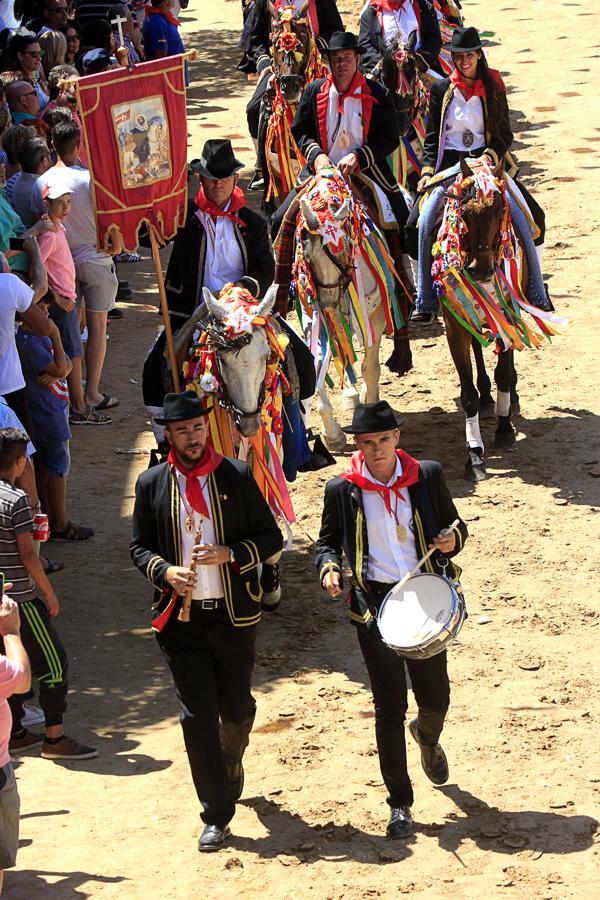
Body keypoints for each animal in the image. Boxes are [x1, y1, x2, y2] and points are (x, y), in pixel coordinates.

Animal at [436, 162, 524, 486]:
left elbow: (504, 374)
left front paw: (504, 428)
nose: (482, 268)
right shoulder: (455, 327)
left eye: (499, 208)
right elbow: (468, 394)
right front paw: (474, 455)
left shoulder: (508, 317)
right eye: (465, 212)